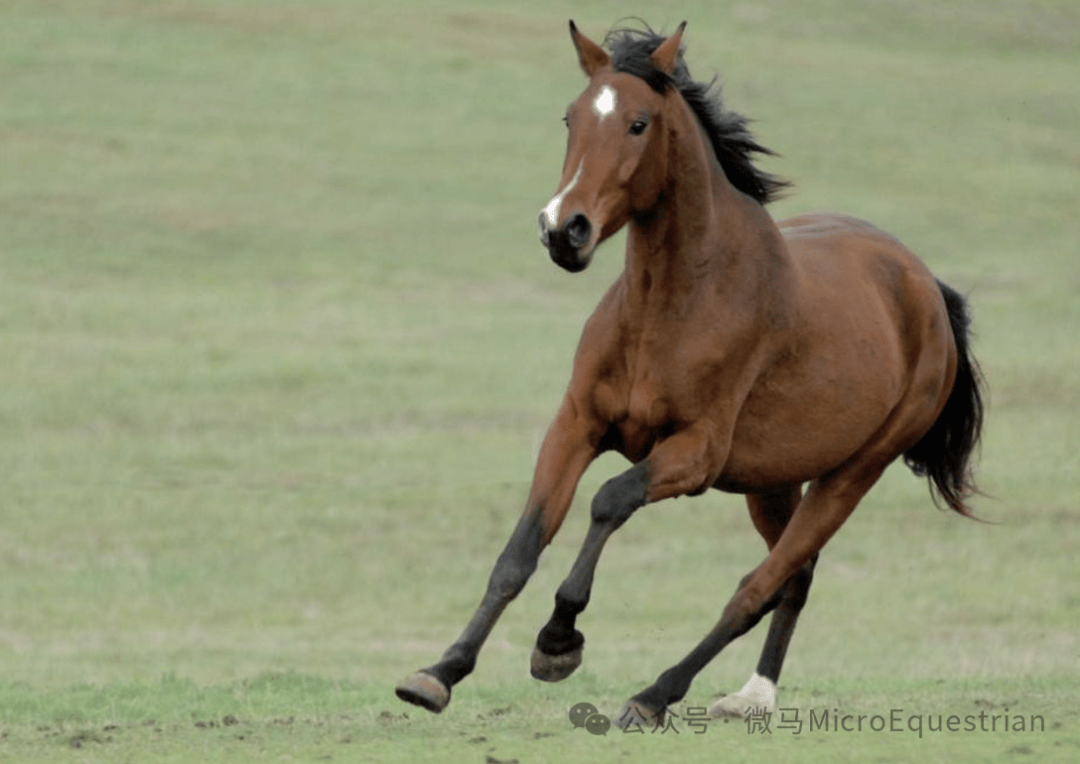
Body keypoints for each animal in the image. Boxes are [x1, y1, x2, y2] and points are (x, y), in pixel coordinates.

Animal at [395, 20, 980, 726]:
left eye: (639, 124)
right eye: (569, 117)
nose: (563, 230)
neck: (669, 307)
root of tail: (927, 287)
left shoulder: (696, 453)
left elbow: (610, 499)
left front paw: (558, 640)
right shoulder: (576, 425)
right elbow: (519, 551)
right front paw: (439, 673)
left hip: (851, 475)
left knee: (758, 586)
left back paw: (655, 695)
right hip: (773, 481)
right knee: (795, 576)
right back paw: (752, 695)